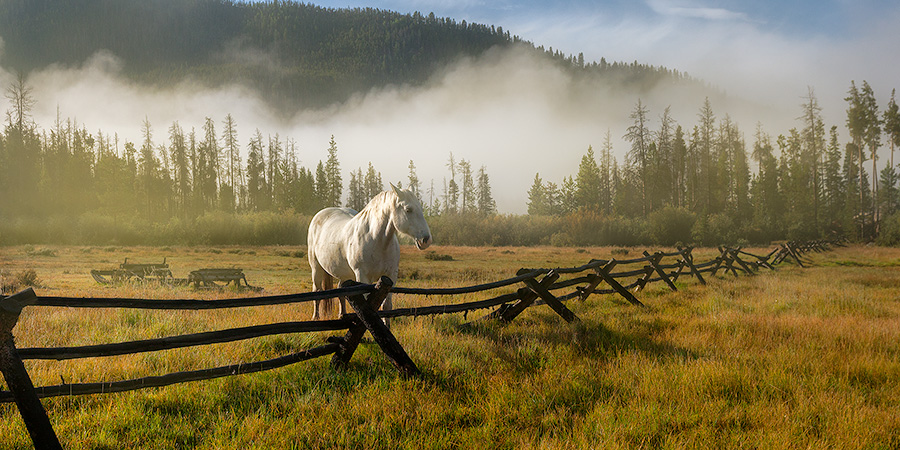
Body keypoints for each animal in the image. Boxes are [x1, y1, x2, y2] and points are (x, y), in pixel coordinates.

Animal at [308, 185, 430, 322]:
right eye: (408, 209)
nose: (426, 240)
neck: (375, 239)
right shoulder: (363, 276)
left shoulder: (391, 276)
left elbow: (386, 306)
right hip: (316, 268)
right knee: (317, 291)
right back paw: (316, 317)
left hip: (344, 274)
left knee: (341, 292)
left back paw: (342, 315)